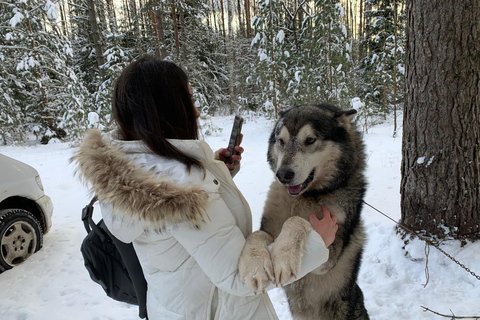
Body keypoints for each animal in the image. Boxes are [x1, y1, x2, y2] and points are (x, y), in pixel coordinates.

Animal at [238, 104, 370, 318]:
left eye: (309, 140)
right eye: (281, 141)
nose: (283, 175)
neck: (304, 197)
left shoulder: (329, 256)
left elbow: (298, 220)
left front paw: (284, 256)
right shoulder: (268, 229)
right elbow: (256, 235)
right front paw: (254, 268)